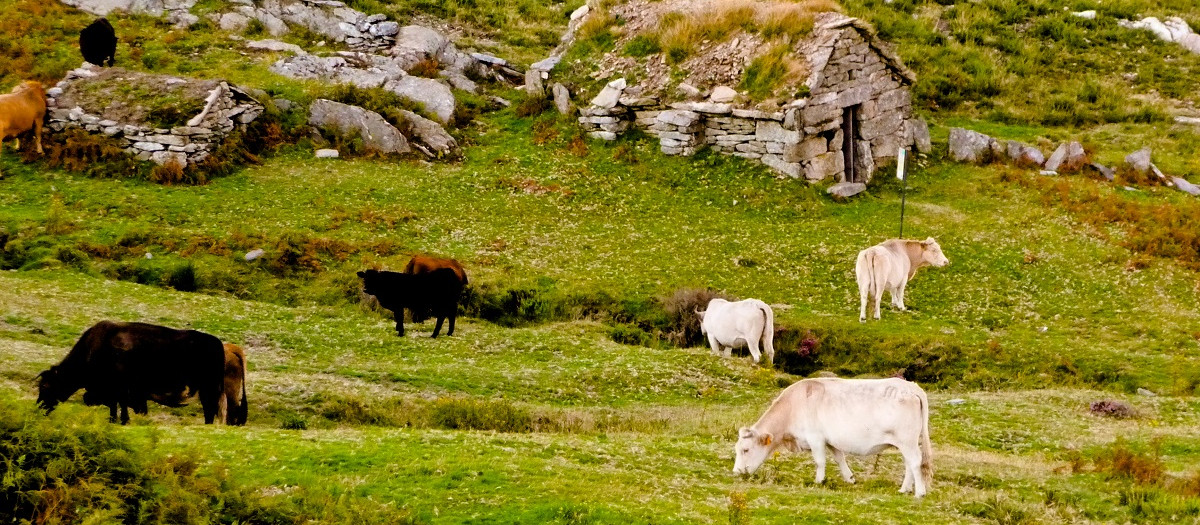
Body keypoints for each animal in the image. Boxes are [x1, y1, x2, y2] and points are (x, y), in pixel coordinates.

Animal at [729, 376, 936, 496]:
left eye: (746, 450)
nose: (737, 472)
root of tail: (911, 387)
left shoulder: (815, 438)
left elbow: (820, 461)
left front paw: (818, 481)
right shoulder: (832, 441)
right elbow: (839, 458)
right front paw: (850, 478)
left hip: (907, 440)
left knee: (915, 462)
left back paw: (919, 492)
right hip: (905, 442)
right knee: (909, 464)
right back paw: (904, 489)